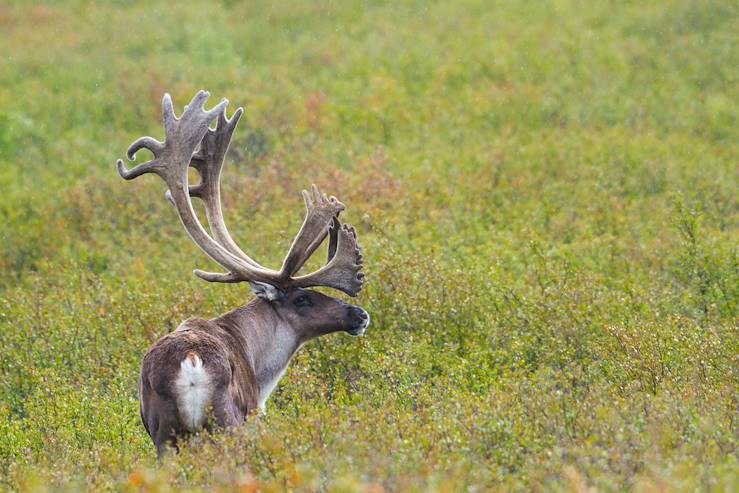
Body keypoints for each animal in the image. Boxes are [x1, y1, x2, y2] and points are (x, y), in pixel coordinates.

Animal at [118, 90, 370, 456]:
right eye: (302, 298)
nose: (360, 314)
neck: (257, 360)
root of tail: (191, 360)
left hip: (164, 433)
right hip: (227, 422)